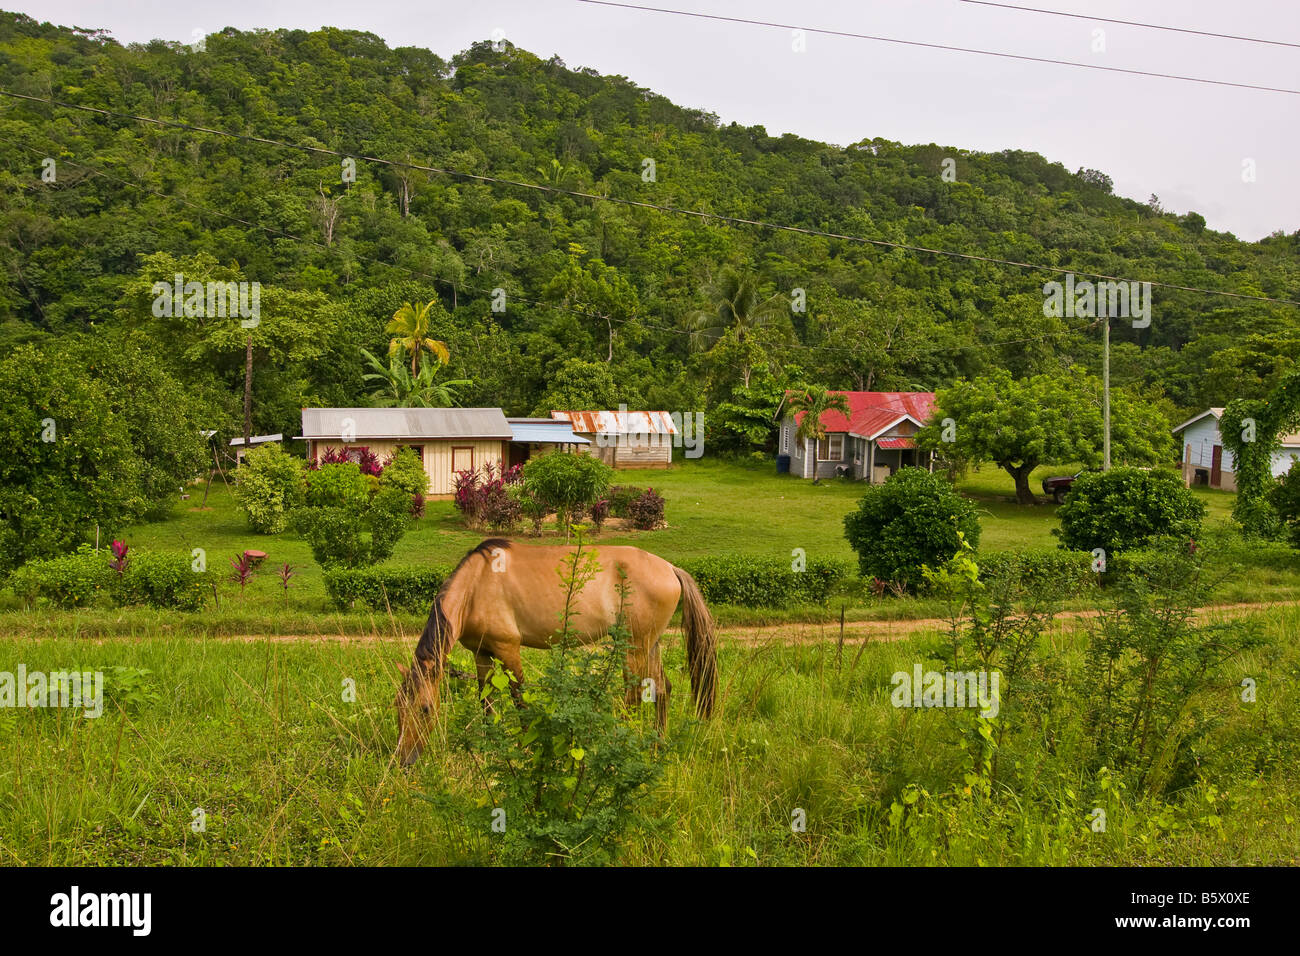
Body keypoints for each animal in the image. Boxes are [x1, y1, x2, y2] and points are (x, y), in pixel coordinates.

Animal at [395, 541, 722, 764]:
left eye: (425, 709)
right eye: (397, 706)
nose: (404, 760)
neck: (477, 585)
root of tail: (670, 568)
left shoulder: (508, 650)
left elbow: (519, 699)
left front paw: (526, 748)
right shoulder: (481, 653)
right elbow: (486, 702)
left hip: (634, 649)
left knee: (633, 696)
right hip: (650, 645)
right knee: (662, 689)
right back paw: (657, 745)